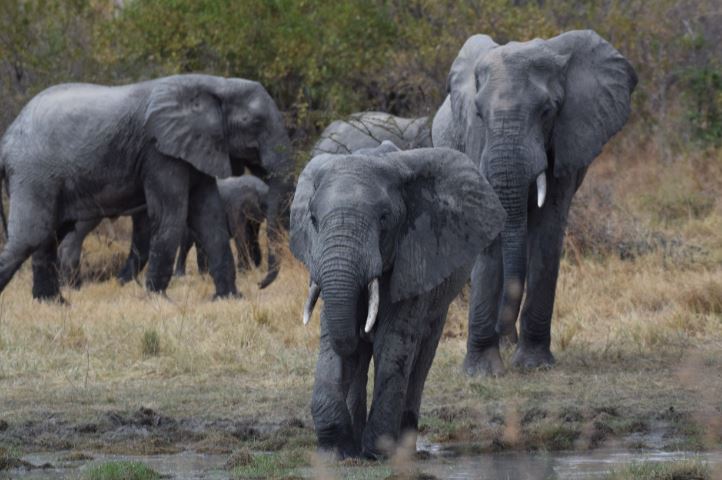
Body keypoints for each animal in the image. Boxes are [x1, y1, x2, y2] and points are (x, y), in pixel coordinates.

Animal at [0, 73, 292, 302]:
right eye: (254, 123)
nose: (260, 284)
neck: (217, 84)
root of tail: (7, 137)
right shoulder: (160, 153)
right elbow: (171, 215)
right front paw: (159, 300)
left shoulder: (195, 148)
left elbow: (209, 219)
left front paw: (229, 299)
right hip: (33, 172)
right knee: (31, 236)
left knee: (46, 236)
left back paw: (54, 303)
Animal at [290, 142, 504, 458]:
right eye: (314, 220)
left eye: (384, 218)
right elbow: (333, 339)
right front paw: (335, 450)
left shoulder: (415, 259)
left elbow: (392, 343)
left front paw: (379, 451)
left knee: (422, 354)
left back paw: (402, 443)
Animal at [430, 29, 632, 376]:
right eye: (478, 114)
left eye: (547, 111)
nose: (502, 330)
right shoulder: (476, 142)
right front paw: (482, 371)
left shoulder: (567, 142)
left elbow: (548, 232)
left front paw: (533, 364)